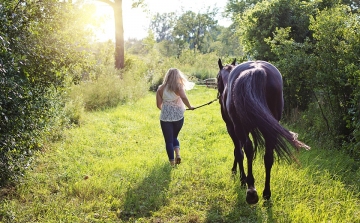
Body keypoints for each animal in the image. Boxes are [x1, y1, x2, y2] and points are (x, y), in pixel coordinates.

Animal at [217, 58, 310, 204]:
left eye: (217, 78)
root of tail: (257, 69)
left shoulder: (231, 128)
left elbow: (238, 151)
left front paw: (240, 177)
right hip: (269, 129)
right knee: (268, 157)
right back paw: (266, 193)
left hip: (240, 127)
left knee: (248, 149)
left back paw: (251, 190)